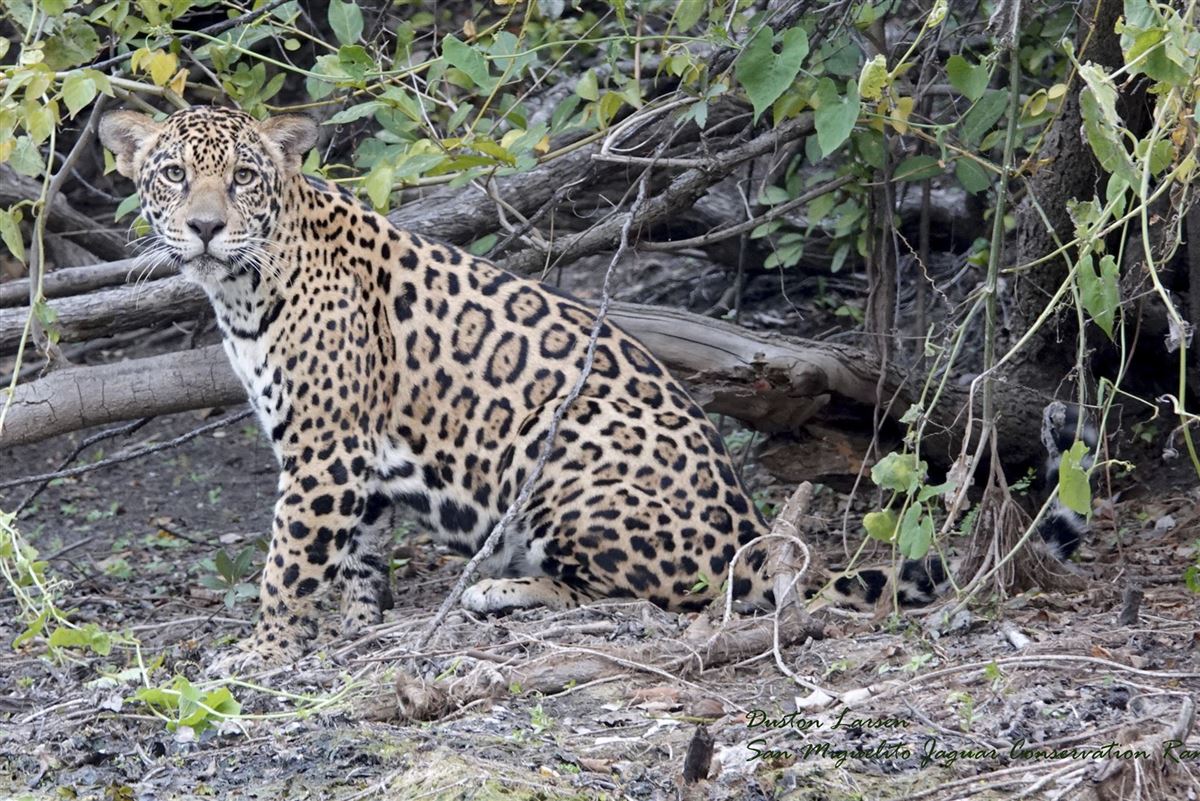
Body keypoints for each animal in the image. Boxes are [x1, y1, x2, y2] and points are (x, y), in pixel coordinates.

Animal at [99, 105, 790, 666]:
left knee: (652, 595)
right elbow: (358, 551)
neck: (243, 291)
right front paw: (358, 625)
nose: (206, 228)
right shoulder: (357, 452)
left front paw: (265, 650)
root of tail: (752, 537)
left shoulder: (324, 449)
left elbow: (289, 562)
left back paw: (498, 589)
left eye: (243, 177)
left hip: (559, 430)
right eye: (173, 175)